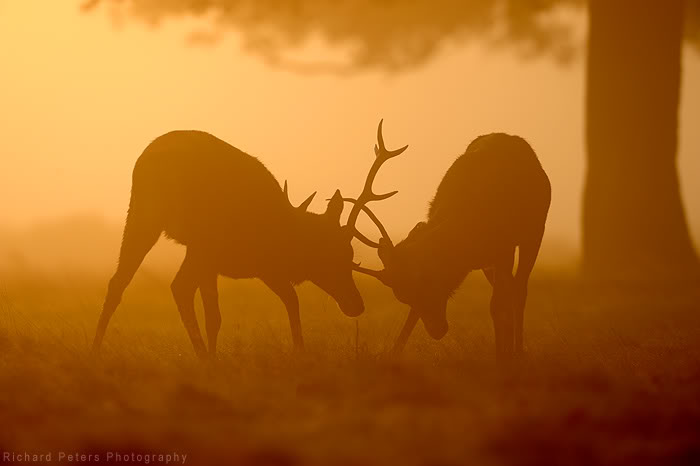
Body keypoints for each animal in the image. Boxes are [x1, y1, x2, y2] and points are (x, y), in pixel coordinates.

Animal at [91, 129, 394, 358]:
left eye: (351, 253)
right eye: (331, 255)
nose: (356, 305)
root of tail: (144, 158)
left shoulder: (258, 268)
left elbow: (290, 300)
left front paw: (299, 350)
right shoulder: (214, 251)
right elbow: (215, 315)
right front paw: (214, 359)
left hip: (161, 227)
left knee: (146, 284)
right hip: (153, 219)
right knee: (141, 283)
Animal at [350, 128, 551, 358]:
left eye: (428, 280)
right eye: (405, 297)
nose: (437, 330)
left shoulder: (503, 247)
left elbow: (496, 304)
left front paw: (502, 357)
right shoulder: (490, 258)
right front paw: (394, 353)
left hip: (534, 232)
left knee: (519, 290)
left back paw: (516, 351)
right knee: (509, 289)